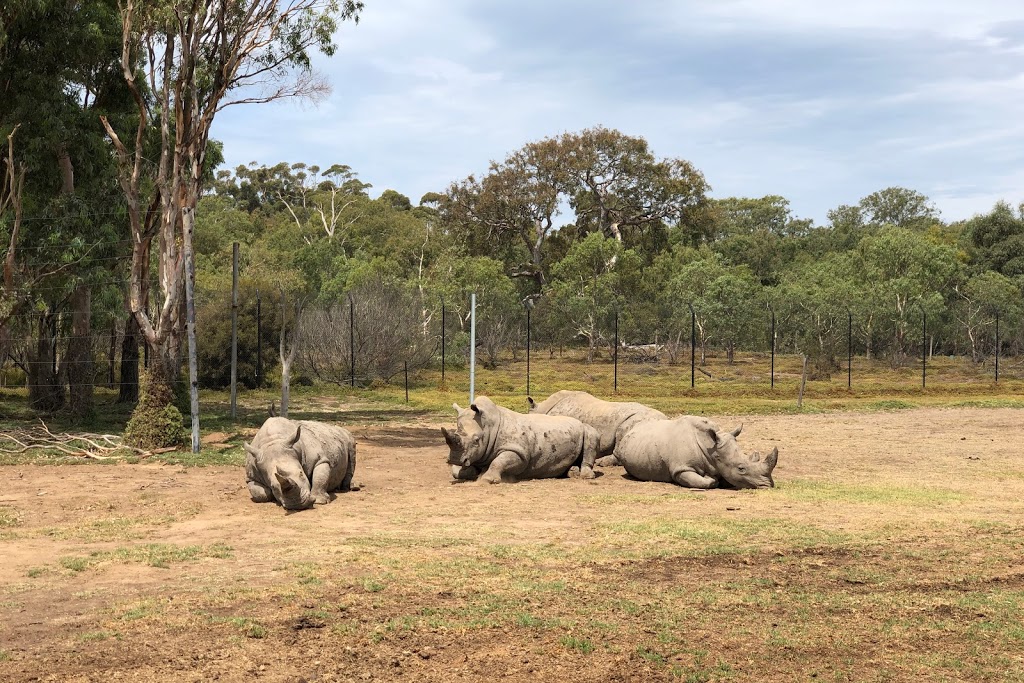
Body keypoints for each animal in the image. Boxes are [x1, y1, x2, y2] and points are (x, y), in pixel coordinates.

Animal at [440, 395, 598, 485]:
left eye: (476, 440)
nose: (454, 459)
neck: (489, 427)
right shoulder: (477, 456)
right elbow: (457, 471)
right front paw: (473, 472)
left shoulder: (519, 452)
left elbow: (499, 462)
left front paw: (487, 479)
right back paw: (571, 472)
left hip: (585, 427)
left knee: (592, 435)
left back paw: (585, 476)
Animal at [614, 413, 774, 489]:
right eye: (741, 468)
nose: (768, 485)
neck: (711, 449)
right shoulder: (681, 468)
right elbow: (703, 482)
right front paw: (711, 479)